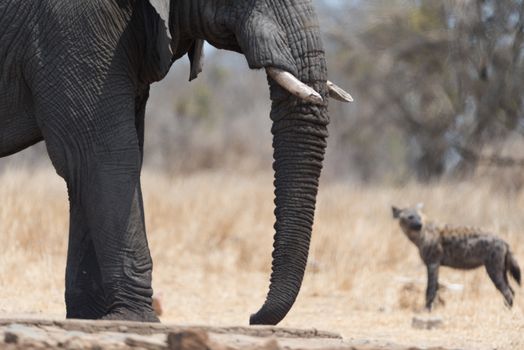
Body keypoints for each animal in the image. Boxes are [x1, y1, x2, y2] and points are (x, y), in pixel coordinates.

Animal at [1, 0, 352, 326]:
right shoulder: (70, 23)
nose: (253, 317)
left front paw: (91, 319)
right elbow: (101, 153)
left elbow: (92, 165)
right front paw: (136, 320)